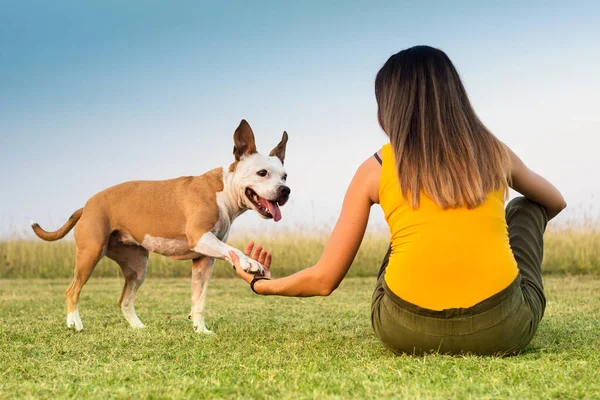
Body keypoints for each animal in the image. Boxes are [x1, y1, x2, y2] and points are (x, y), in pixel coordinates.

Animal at [32, 119, 290, 334]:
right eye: (262, 173)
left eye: (285, 176)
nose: (285, 190)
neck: (224, 190)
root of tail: (86, 206)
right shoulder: (201, 238)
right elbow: (233, 251)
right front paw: (250, 262)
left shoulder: (204, 260)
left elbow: (199, 300)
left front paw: (200, 330)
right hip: (90, 253)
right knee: (72, 289)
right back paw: (74, 323)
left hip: (137, 267)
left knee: (124, 300)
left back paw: (138, 328)